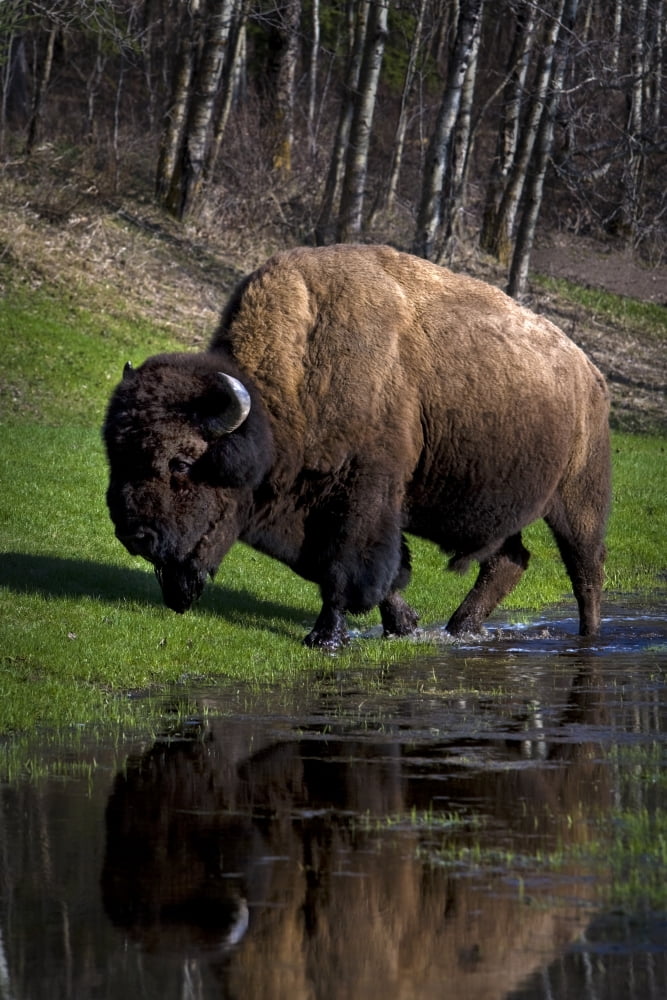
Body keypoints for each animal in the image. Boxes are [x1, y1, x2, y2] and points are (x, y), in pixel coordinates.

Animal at [103, 244, 611, 649]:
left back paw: (587, 638)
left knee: (586, 571)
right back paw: (460, 628)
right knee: (509, 560)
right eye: (114, 454)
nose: (134, 533)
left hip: (578, 502)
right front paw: (403, 625)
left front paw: (324, 637)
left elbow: (346, 569)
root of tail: (589, 372)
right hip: (500, 508)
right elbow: (369, 573)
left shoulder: (362, 498)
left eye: (182, 462)